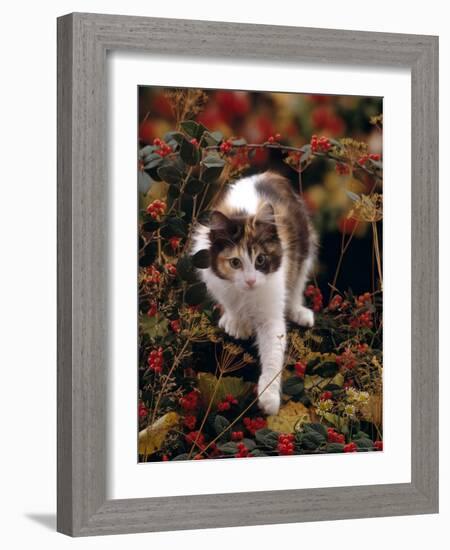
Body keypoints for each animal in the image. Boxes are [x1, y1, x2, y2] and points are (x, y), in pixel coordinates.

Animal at [191, 171, 316, 414]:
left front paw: (269, 397)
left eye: (260, 260)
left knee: (297, 283)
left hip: (304, 245)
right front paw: (236, 322)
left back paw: (298, 311)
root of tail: (267, 174)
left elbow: (273, 353)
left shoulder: (272, 308)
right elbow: (229, 303)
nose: (250, 280)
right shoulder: (214, 278)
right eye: (235, 262)